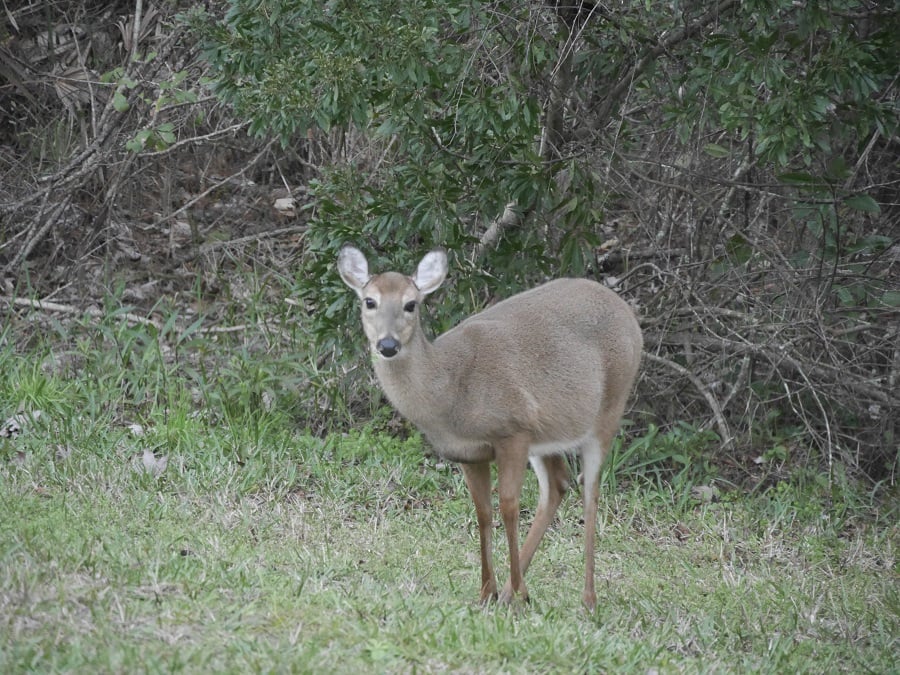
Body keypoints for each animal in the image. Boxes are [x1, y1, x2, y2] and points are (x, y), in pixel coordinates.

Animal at [337, 245, 643, 610]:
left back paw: (586, 598)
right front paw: (488, 592)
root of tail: (627, 312)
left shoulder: (513, 430)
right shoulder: (469, 453)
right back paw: (514, 590)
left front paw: (519, 593)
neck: (450, 389)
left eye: (411, 304)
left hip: (609, 409)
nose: (387, 345)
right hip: (546, 436)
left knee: (590, 493)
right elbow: (483, 512)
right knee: (558, 485)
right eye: (370, 301)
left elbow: (508, 506)